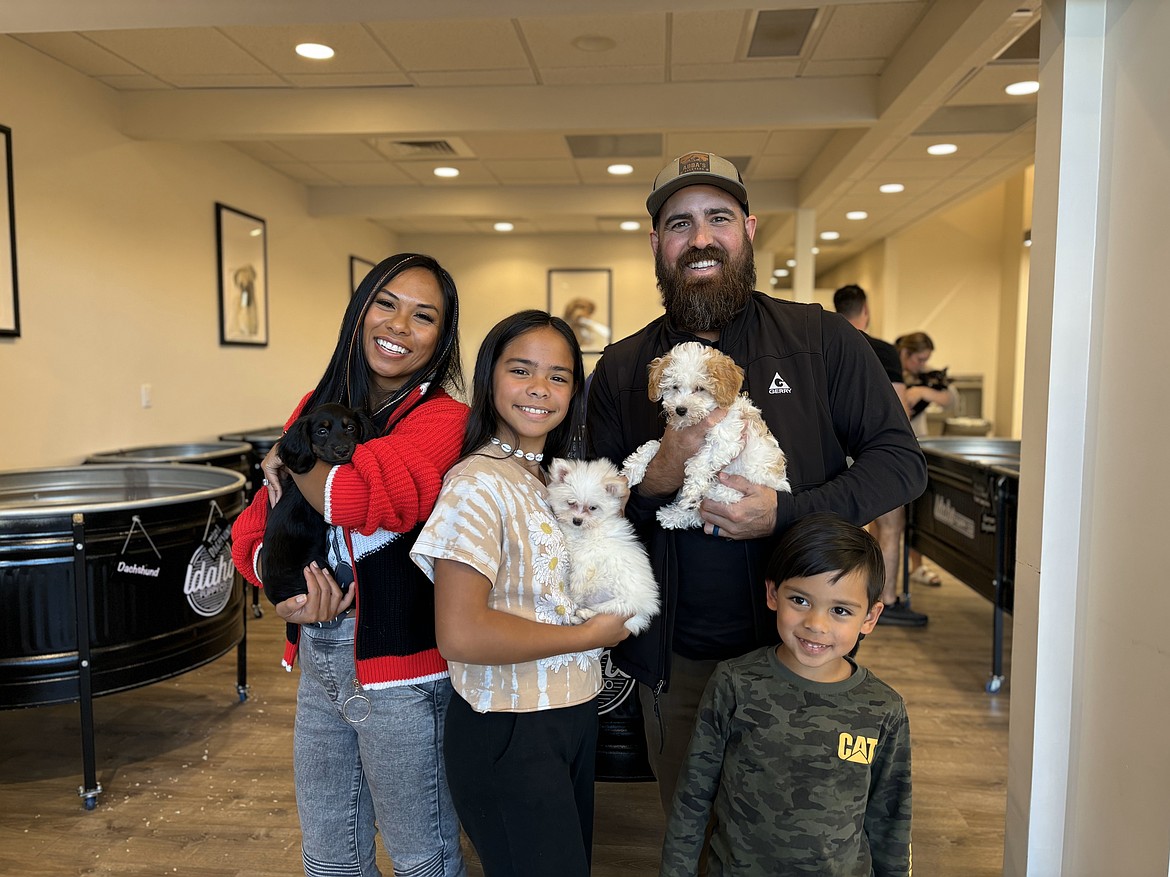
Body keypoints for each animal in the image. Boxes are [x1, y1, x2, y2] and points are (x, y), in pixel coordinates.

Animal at [545, 456, 659, 636]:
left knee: (607, 610)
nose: (577, 520)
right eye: (571, 503)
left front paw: (576, 587)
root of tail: (641, 614)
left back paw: (584, 613)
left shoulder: (590, 550)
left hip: (621, 603)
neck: (590, 528)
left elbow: (581, 567)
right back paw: (580, 617)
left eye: (592, 507)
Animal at [617, 341, 790, 533]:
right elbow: (653, 444)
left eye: (700, 388)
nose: (680, 409)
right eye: (675, 387)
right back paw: (671, 515)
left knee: (704, 505)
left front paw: (692, 489)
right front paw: (633, 468)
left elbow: (701, 462)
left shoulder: (727, 438)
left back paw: (682, 507)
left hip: (730, 492)